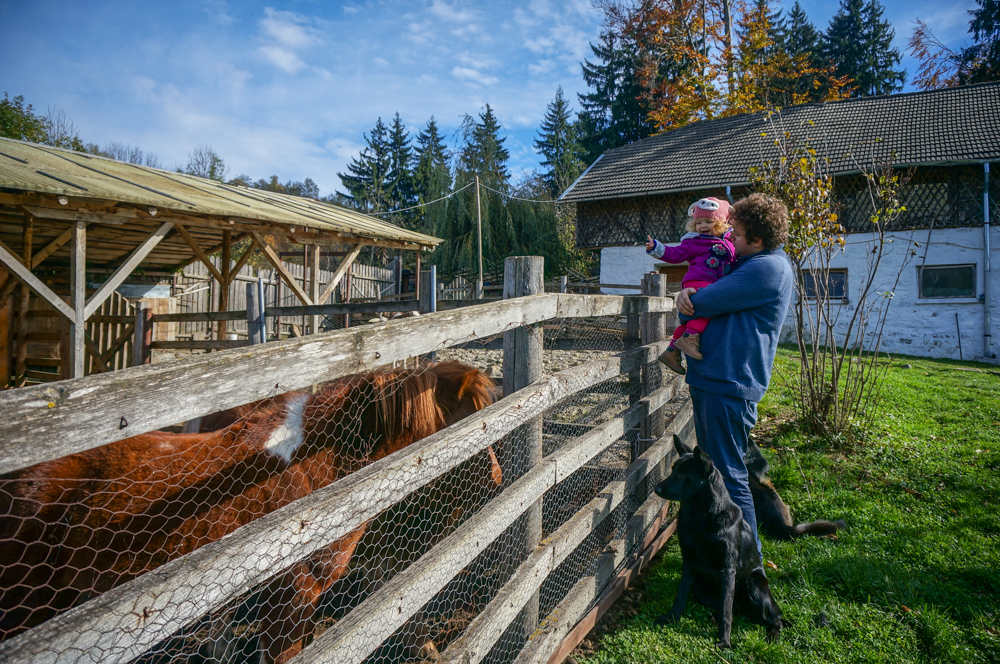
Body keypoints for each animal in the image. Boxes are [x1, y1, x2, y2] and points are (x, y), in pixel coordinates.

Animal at [652, 436, 784, 648]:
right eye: (673, 470)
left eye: (682, 474)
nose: (656, 489)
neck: (702, 516)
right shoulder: (689, 561)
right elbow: (681, 595)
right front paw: (671, 617)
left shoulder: (727, 569)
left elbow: (725, 609)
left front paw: (724, 640)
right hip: (700, 586)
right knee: (733, 609)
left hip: (753, 583)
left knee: (773, 618)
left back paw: (771, 635)